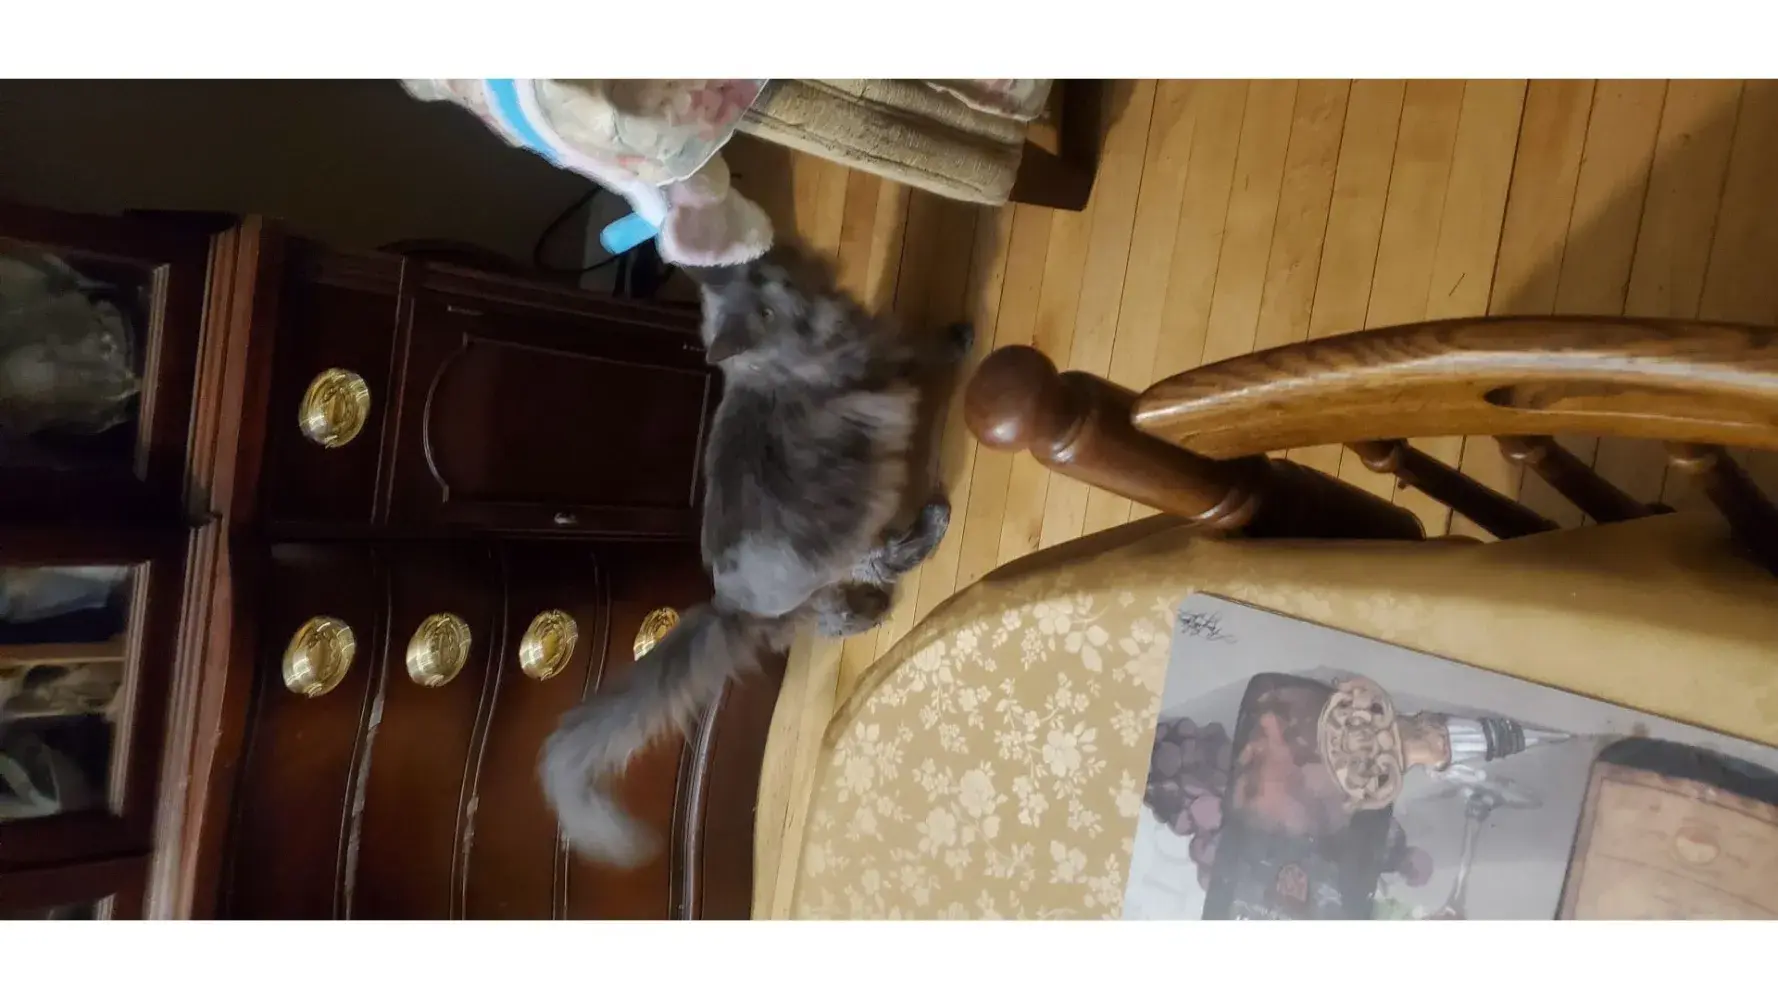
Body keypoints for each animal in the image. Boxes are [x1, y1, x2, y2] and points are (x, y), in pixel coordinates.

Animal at [540, 247, 972, 867]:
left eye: (763, 285)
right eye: (765, 312)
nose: (781, 282)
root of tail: (727, 601)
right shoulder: (880, 350)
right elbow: (924, 345)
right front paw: (961, 337)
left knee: (832, 615)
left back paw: (873, 611)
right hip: (852, 541)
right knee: (882, 562)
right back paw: (930, 528)